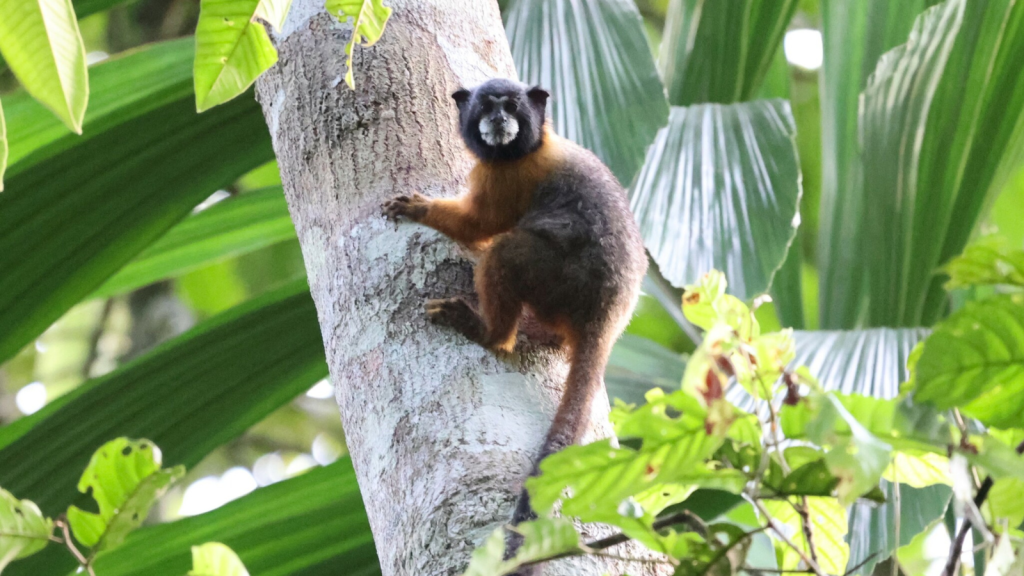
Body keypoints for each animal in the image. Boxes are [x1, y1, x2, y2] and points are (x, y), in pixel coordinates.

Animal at [380, 76, 643, 541]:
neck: (529, 149)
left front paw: (420, 209)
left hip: (561, 279)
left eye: (512, 107)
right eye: (486, 107)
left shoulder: (508, 177)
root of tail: (607, 314)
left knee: (504, 253)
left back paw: (490, 333)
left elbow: (480, 226)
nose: (499, 120)